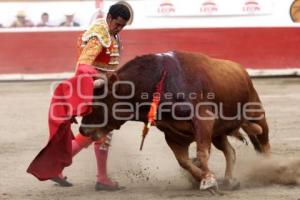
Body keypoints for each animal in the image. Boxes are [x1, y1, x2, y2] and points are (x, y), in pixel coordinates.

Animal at [79, 50, 270, 191]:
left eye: (98, 102)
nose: (82, 130)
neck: (159, 82)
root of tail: (241, 69)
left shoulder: (203, 121)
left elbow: (201, 154)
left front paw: (208, 180)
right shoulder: (172, 134)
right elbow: (184, 162)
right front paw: (202, 178)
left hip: (255, 112)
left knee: (264, 141)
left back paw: (266, 167)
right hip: (218, 133)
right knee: (230, 151)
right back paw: (230, 180)